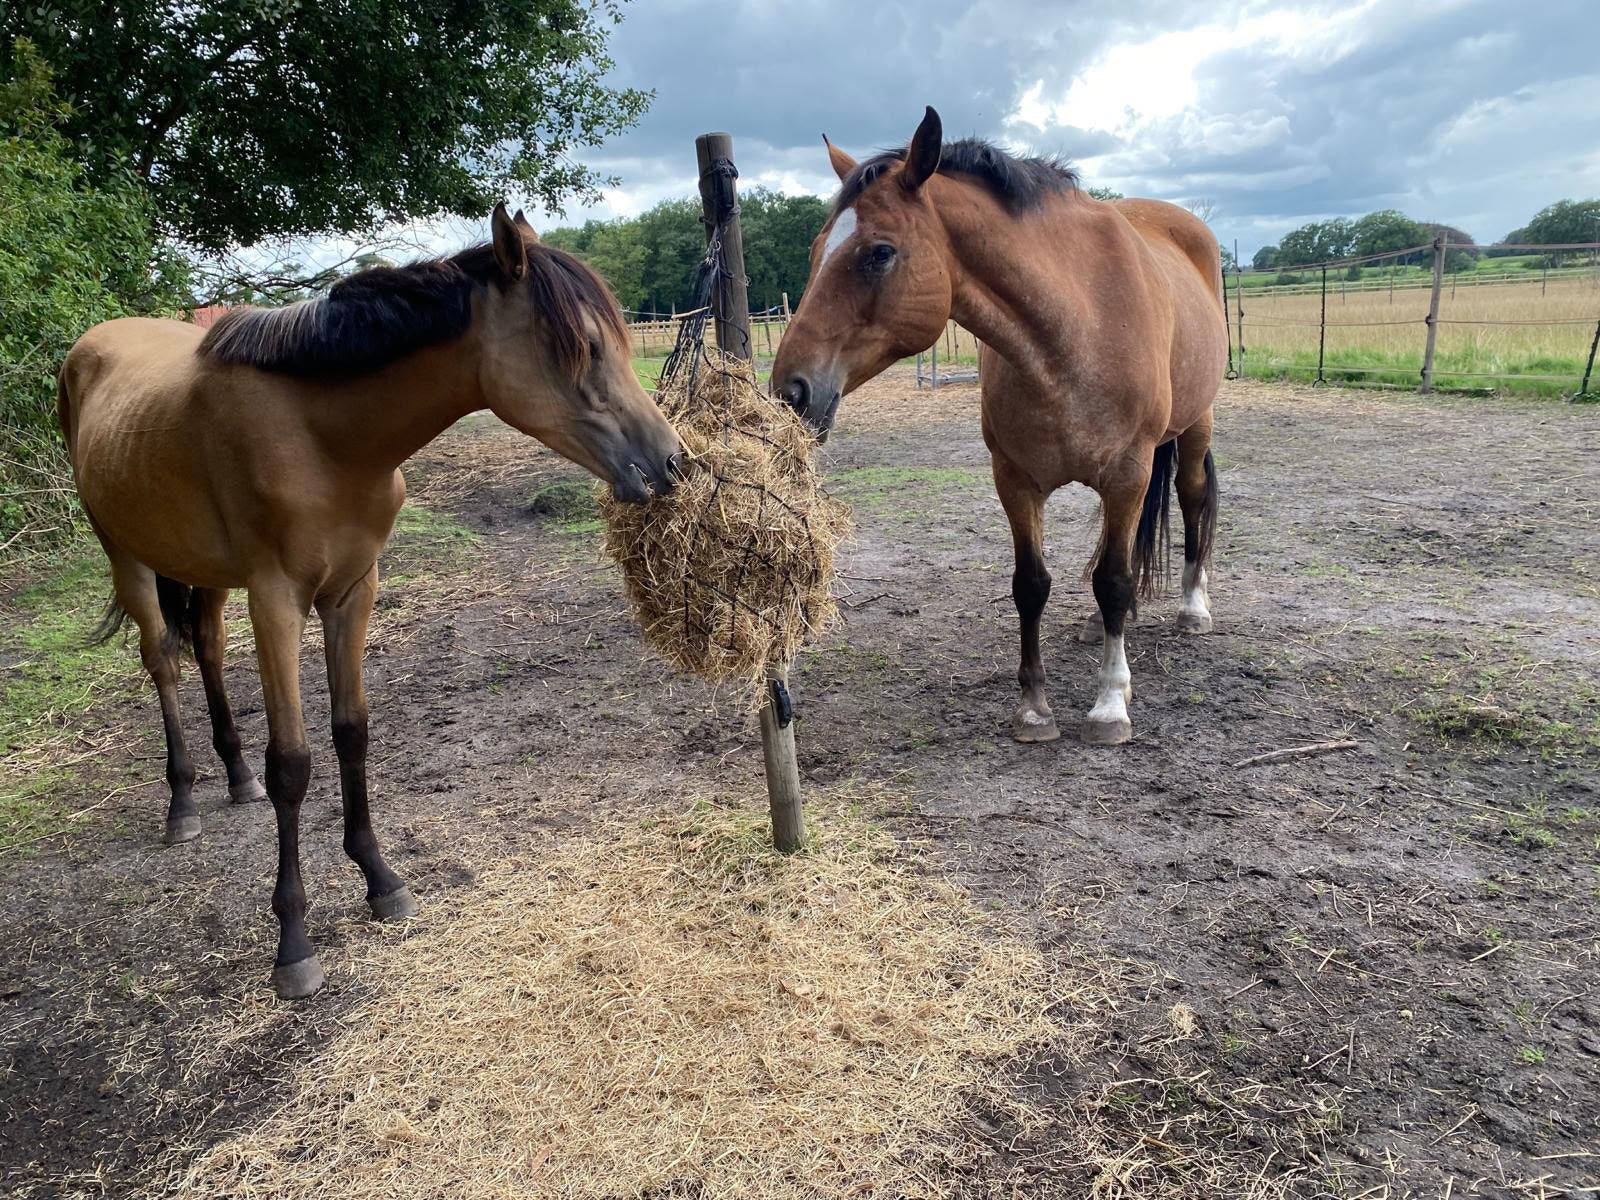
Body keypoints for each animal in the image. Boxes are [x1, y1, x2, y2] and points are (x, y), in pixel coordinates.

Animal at [58, 205, 682, 999]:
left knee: (204, 649)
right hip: (127, 556)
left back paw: (233, 779)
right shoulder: (277, 603)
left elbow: (352, 731)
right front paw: (293, 943)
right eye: (587, 349)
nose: (670, 463)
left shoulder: (354, 592)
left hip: (204, 572)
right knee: (163, 660)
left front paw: (381, 881)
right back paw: (183, 802)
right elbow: (293, 765)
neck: (320, 435)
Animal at [772, 107, 1225, 747]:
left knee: (1190, 499)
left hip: (1193, 427)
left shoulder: (1127, 473)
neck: (1077, 326)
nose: (791, 390)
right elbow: (1031, 585)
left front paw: (1110, 705)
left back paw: (1193, 608)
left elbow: (1113, 580)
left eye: (879, 252)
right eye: (816, 249)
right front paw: (1034, 709)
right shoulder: (1015, 480)